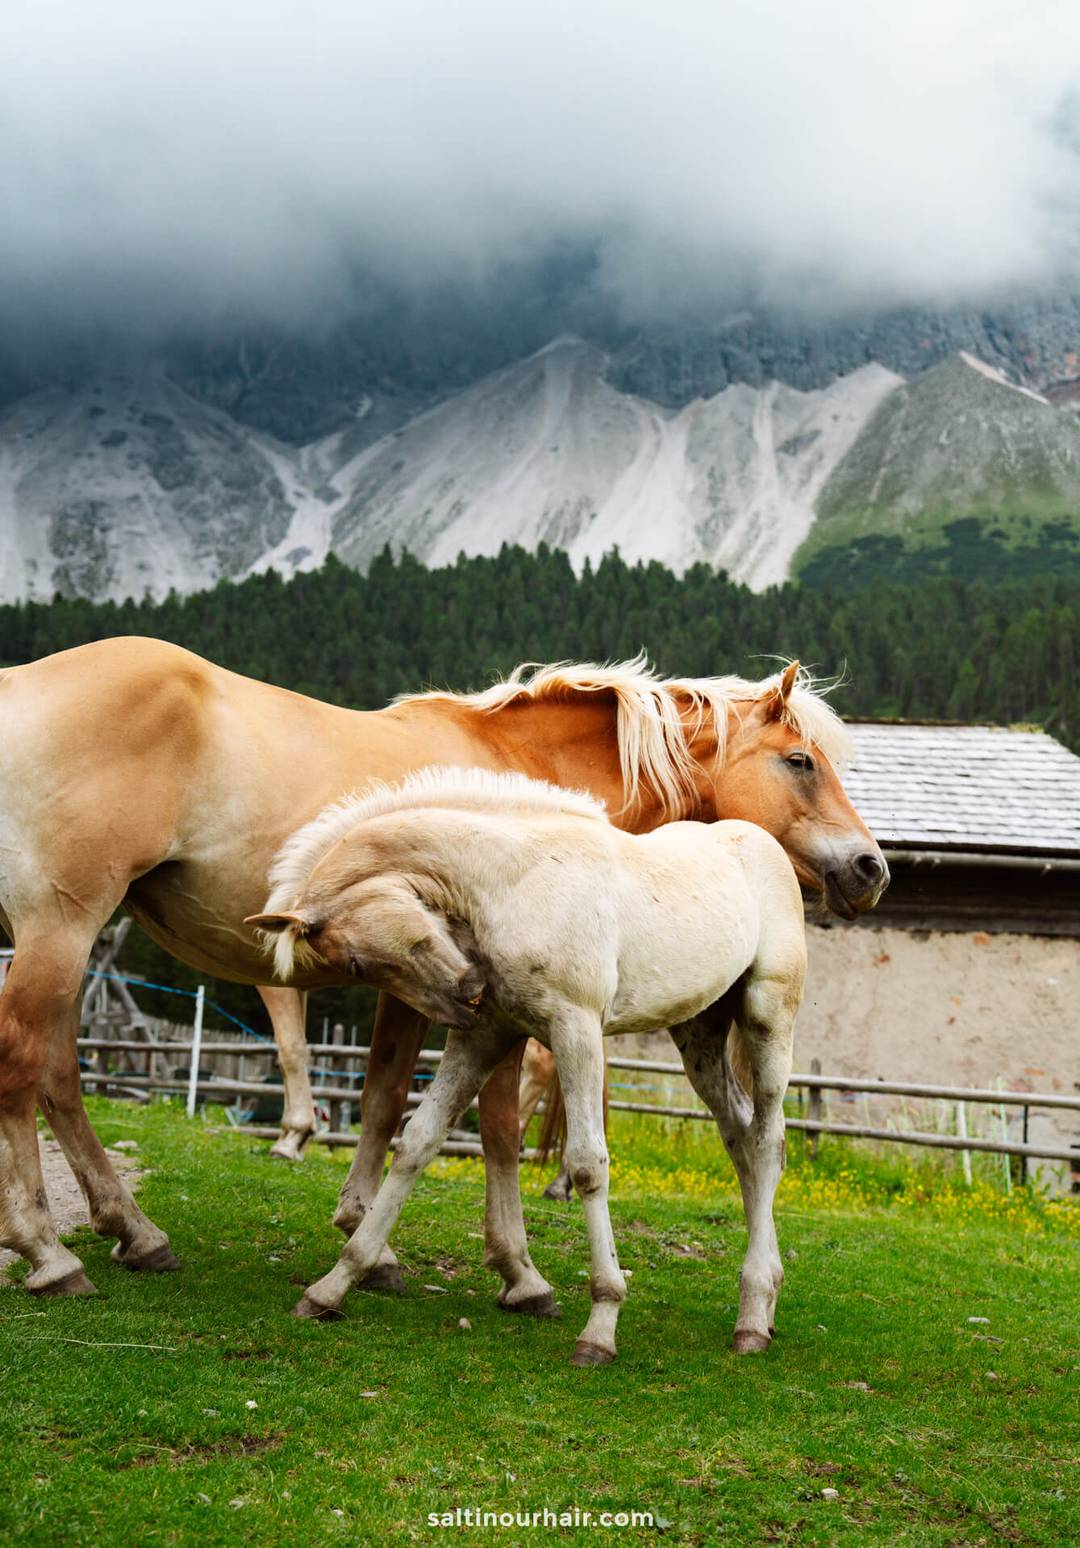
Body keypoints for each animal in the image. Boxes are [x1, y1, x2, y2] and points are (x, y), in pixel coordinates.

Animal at [0, 640, 885, 1297]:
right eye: (801, 761)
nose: (871, 867)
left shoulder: (429, 987)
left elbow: (388, 1098)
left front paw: (366, 1234)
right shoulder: (487, 999)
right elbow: (485, 1121)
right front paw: (517, 1268)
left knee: (60, 1076)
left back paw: (132, 1230)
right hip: (60, 926)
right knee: (26, 1064)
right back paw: (48, 1250)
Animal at [250, 766, 809, 1366]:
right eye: (358, 968)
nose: (465, 989)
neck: (514, 881)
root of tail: (763, 843)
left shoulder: (576, 1027)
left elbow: (587, 1164)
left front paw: (600, 1326)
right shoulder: (484, 1034)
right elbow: (418, 1142)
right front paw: (333, 1285)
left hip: (768, 1018)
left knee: (767, 1142)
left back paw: (751, 1319)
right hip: (699, 1034)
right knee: (740, 1138)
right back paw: (764, 1304)